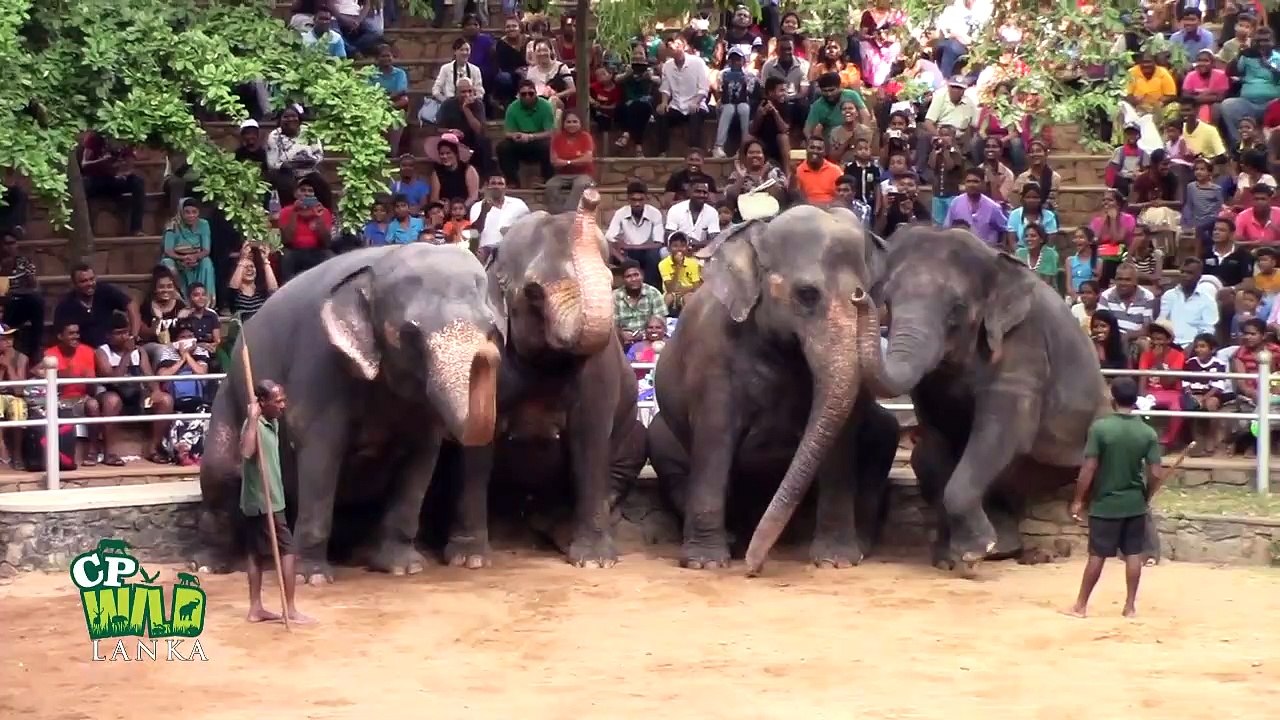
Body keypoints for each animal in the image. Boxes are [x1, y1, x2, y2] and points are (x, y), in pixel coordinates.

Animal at [196, 244, 502, 584]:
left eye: (491, 328)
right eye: (410, 334)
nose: (490, 355)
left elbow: (421, 458)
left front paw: (404, 567)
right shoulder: (318, 363)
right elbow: (320, 453)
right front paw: (311, 578)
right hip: (228, 401)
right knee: (220, 474)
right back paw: (214, 565)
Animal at [443, 187, 645, 569]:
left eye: (610, 279)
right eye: (534, 292)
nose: (590, 195)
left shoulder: (600, 366)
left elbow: (590, 436)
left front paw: (595, 561)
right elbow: (477, 439)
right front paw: (468, 559)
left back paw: (562, 529)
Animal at [647, 206, 900, 575]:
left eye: (863, 289)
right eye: (807, 294)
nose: (753, 567)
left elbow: (840, 436)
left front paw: (836, 561)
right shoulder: (712, 360)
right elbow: (715, 438)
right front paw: (704, 563)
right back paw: (732, 539)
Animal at [866, 226, 1109, 571]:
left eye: (956, 308)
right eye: (886, 301)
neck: (991, 257)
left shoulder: (1023, 345)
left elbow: (1002, 433)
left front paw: (974, 552)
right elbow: (939, 438)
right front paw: (951, 559)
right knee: (923, 457)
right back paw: (1006, 549)